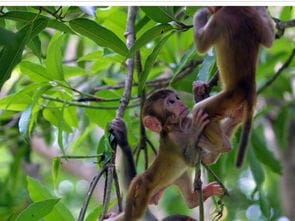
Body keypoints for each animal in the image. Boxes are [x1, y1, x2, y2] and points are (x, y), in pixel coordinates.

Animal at [194, 6, 276, 167]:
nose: (210, 9)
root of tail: (250, 88)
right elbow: (269, 39)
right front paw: (261, 8)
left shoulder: (219, 19)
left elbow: (201, 45)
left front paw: (201, 13)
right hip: (240, 105)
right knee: (236, 118)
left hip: (231, 96)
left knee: (201, 110)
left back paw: (223, 146)